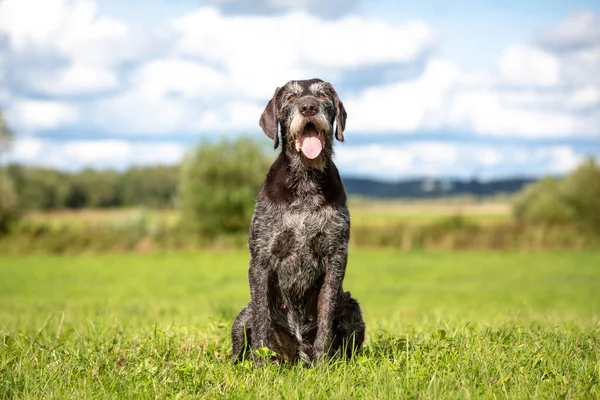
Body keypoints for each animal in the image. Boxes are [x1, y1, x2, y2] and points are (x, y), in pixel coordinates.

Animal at [230, 77, 364, 362]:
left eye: (322, 95)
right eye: (291, 98)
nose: (309, 107)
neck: (305, 181)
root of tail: (297, 353)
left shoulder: (335, 257)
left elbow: (326, 318)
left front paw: (323, 364)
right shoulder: (261, 260)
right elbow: (261, 321)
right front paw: (260, 365)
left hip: (352, 306)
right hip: (242, 317)